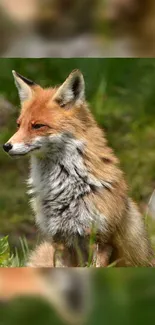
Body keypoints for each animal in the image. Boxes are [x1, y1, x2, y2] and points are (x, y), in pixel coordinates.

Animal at [2, 68, 154, 266]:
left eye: (38, 126)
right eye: (18, 125)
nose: (6, 146)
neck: (65, 188)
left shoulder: (101, 241)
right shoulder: (59, 240)